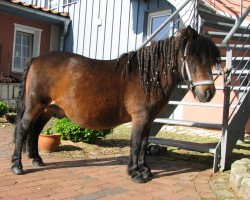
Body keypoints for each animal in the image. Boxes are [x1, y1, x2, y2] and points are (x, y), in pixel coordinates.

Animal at [10, 26, 220, 183]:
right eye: (191, 58)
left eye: (210, 60)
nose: (208, 92)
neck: (147, 77)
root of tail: (36, 59)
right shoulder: (140, 117)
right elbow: (135, 143)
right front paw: (135, 173)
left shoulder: (150, 118)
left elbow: (144, 143)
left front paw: (145, 170)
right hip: (34, 106)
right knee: (23, 129)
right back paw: (17, 166)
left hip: (48, 109)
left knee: (35, 130)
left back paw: (37, 159)